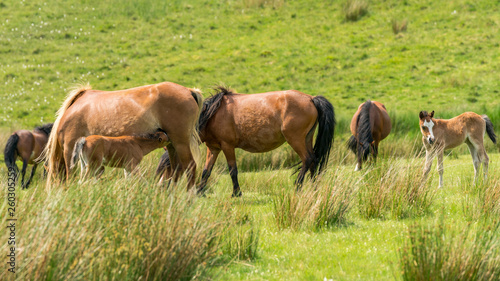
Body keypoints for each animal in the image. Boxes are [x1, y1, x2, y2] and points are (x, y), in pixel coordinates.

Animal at [40, 82, 202, 188]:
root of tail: (189, 91)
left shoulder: (70, 149)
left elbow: (70, 176)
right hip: (172, 145)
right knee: (176, 169)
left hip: (180, 143)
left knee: (190, 166)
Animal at [156, 86, 336, 196]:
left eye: (167, 166)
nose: (161, 187)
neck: (213, 115)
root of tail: (311, 98)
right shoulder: (213, 148)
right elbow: (207, 171)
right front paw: (200, 191)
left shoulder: (228, 146)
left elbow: (232, 170)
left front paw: (236, 193)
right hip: (307, 139)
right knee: (314, 161)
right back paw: (313, 189)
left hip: (296, 140)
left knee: (308, 159)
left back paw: (298, 187)